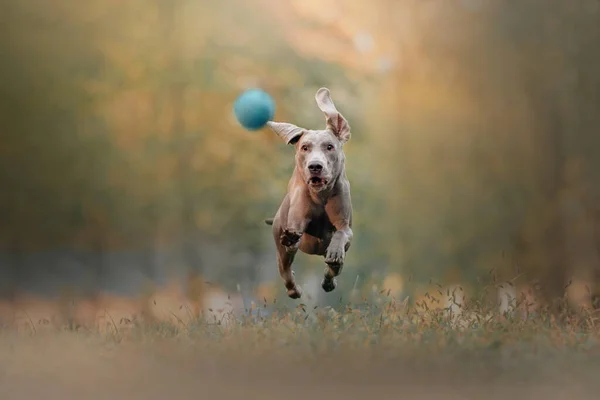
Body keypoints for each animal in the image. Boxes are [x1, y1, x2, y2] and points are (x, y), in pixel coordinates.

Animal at [264, 88, 354, 300]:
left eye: (329, 146)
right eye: (305, 147)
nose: (315, 166)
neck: (321, 195)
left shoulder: (345, 226)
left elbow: (341, 233)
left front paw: (335, 253)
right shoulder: (297, 218)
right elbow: (295, 230)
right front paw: (292, 238)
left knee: (333, 267)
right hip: (281, 244)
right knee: (285, 269)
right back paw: (294, 288)